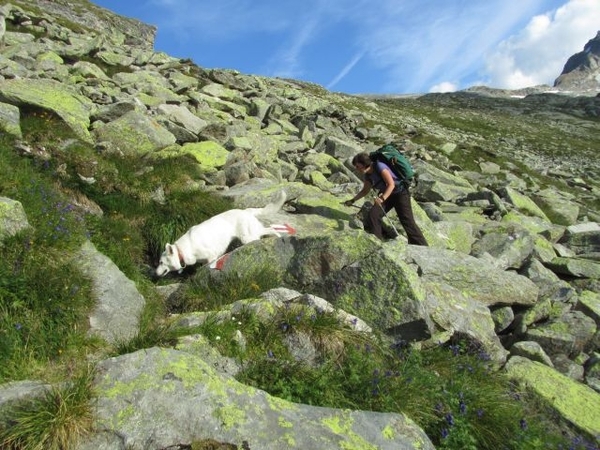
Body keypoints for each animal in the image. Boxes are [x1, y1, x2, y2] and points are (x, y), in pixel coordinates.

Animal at [155, 189, 286, 276]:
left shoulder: (211, 256)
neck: (182, 250)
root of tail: (246, 211)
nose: (155, 274)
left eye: (161, 262)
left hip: (248, 237)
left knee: (270, 229)